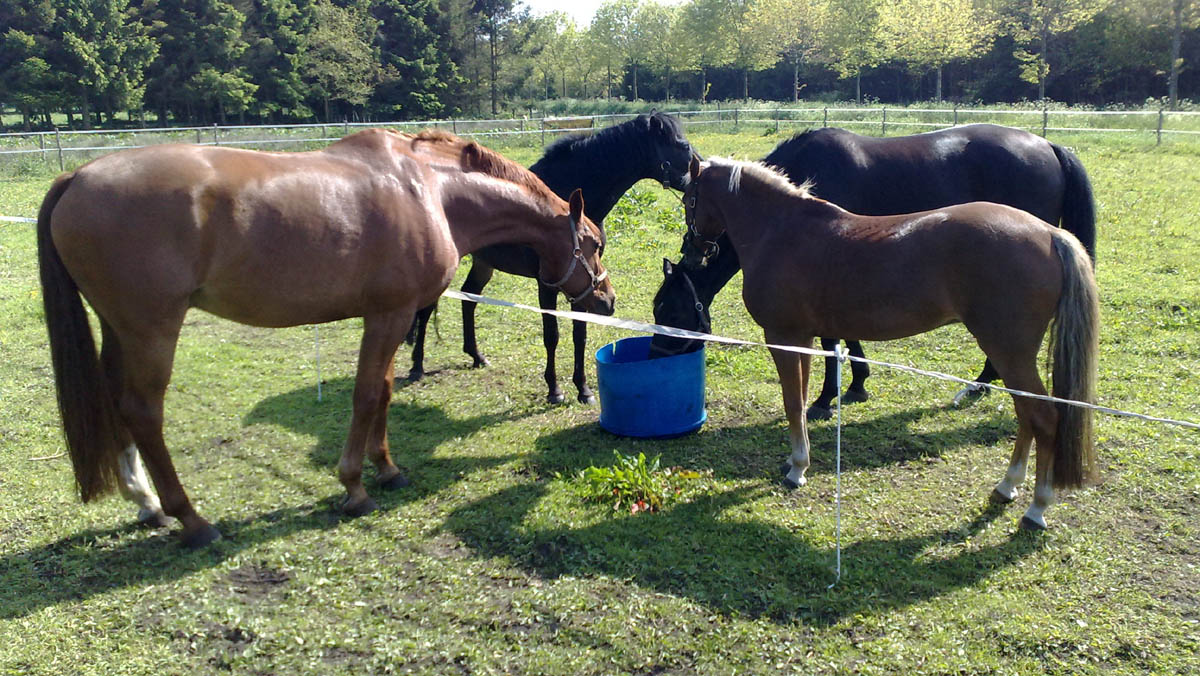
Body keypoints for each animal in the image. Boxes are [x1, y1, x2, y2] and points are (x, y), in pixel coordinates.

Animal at [37, 128, 619, 549]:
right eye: (594, 243)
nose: (607, 301)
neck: (431, 192)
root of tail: (76, 176)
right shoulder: (388, 316)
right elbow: (364, 396)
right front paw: (354, 487)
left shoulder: (391, 316)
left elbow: (383, 392)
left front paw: (387, 470)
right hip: (151, 330)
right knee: (143, 413)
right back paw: (192, 520)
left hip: (118, 328)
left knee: (116, 404)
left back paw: (146, 503)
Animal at [408, 112, 700, 401]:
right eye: (683, 146)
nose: (696, 176)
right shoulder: (547, 283)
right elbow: (552, 335)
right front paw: (554, 389)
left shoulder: (583, 283)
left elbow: (580, 333)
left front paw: (583, 389)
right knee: (427, 310)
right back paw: (417, 366)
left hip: (483, 263)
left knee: (468, 300)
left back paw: (477, 356)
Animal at [657, 121, 1099, 417]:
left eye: (667, 310)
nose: (658, 352)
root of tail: (1049, 145)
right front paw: (856, 384)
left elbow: (834, 338)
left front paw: (828, 397)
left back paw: (980, 383)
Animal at [676, 157, 1099, 528]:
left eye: (688, 199)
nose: (693, 251)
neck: (781, 230)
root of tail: (1050, 234)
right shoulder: (803, 339)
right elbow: (802, 398)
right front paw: (799, 459)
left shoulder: (782, 337)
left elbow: (792, 403)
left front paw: (796, 469)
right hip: (1011, 356)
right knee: (1026, 414)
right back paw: (1007, 486)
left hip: (1010, 352)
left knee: (1043, 417)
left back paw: (1036, 508)